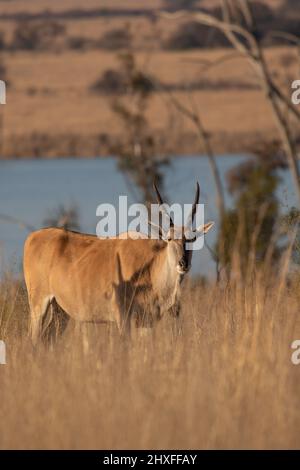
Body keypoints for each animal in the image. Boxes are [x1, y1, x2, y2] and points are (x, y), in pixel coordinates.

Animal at [23, 183, 213, 342]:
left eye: (192, 239)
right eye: (169, 238)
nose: (183, 264)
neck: (150, 267)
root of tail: (33, 237)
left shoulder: (146, 322)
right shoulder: (123, 318)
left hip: (60, 311)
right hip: (38, 305)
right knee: (34, 338)